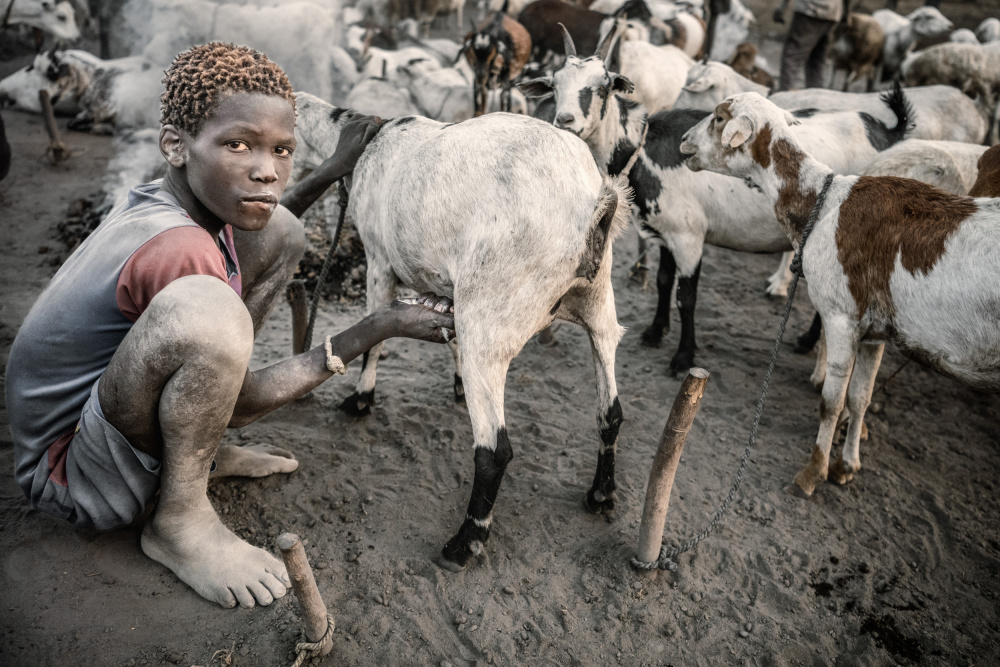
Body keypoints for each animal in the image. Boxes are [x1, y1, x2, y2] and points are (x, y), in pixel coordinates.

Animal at [293, 94, 632, 572]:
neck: (371, 141)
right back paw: (601, 494)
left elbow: (375, 342)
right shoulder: (444, 284)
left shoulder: (379, 261)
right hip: (598, 305)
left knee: (494, 449)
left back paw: (466, 542)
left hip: (489, 322)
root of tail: (594, 201)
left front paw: (361, 400)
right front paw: (452, 383)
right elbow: (444, 334)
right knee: (611, 411)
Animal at [520, 30, 911, 374]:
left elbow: (686, 296)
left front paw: (683, 357)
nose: (565, 121)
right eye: (554, 85)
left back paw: (807, 341)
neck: (642, 148)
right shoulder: (667, 232)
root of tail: (884, 131)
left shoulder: (690, 238)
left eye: (601, 87)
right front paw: (655, 332)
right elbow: (663, 280)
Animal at [679, 91, 1000, 497]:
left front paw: (813, 472)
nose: (684, 141)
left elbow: (831, 402)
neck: (825, 199)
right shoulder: (876, 332)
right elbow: (860, 397)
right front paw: (847, 465)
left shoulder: (841, 318)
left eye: (719, 118)